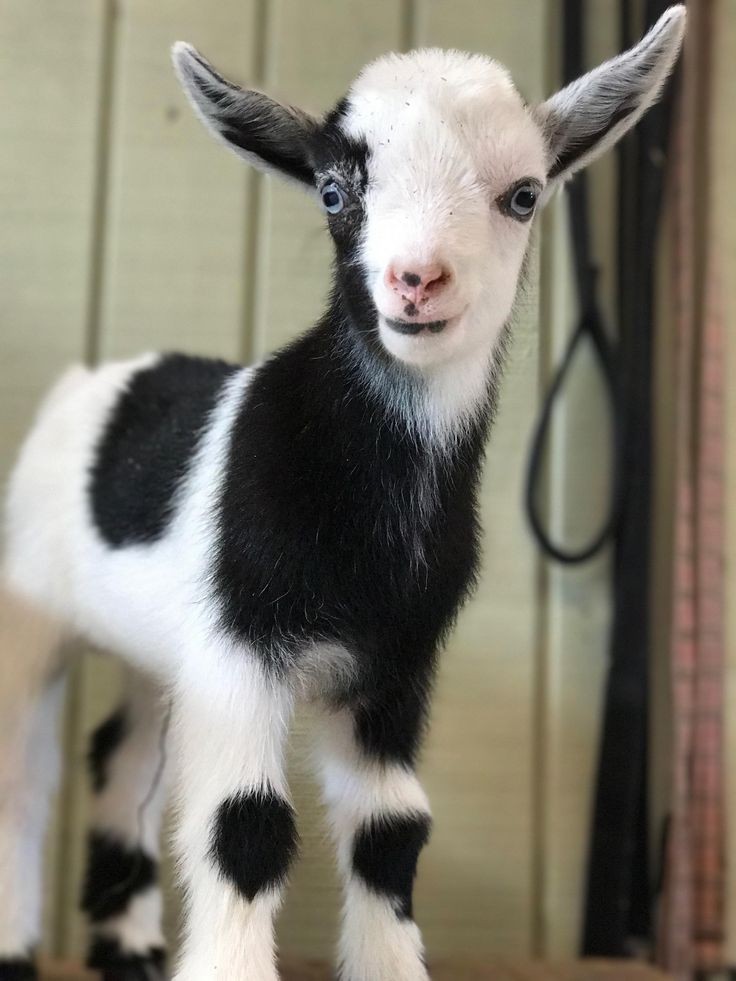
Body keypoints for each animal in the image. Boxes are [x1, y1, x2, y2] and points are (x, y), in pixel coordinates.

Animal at [2, 9, 688, 980]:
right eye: (332, 192)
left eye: (523, 195)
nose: (416, 279)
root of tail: (88, 381)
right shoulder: (240, 648)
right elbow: (244, 825)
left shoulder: (394, 666)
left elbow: (391, 831)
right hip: (31, 607)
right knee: (23, 774)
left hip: (155, 654)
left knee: (124, 758)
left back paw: (128, 946)